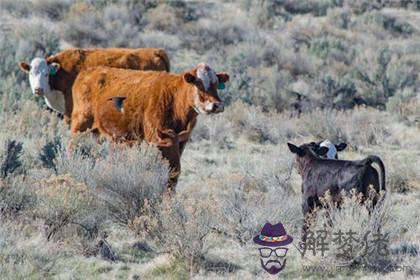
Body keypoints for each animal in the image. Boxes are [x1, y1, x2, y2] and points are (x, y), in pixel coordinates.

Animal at [72, 63, 230, 190]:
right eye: (198, 84)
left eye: (217, 84)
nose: (217, 105)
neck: (175, 99)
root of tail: (88, 71)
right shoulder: (156, 137)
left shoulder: (181, 141)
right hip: (81, 125)